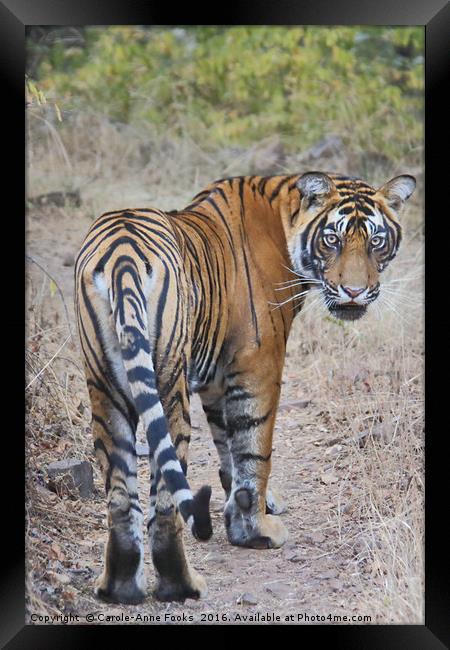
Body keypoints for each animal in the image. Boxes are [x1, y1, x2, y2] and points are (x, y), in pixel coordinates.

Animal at [74, 168, 414, 604]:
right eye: (332, 240)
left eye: (375, 241)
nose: (353, 292)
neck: (286, 219)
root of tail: (122, 256)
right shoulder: (259, 363)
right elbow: (254, 450)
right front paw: (256, 531)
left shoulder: (216, 377)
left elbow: (227, 446)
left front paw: (241, 511)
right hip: (168, 384)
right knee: (164, 498)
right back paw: (181, 586)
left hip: (104, 387)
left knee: (120, 496)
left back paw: (120, 589)